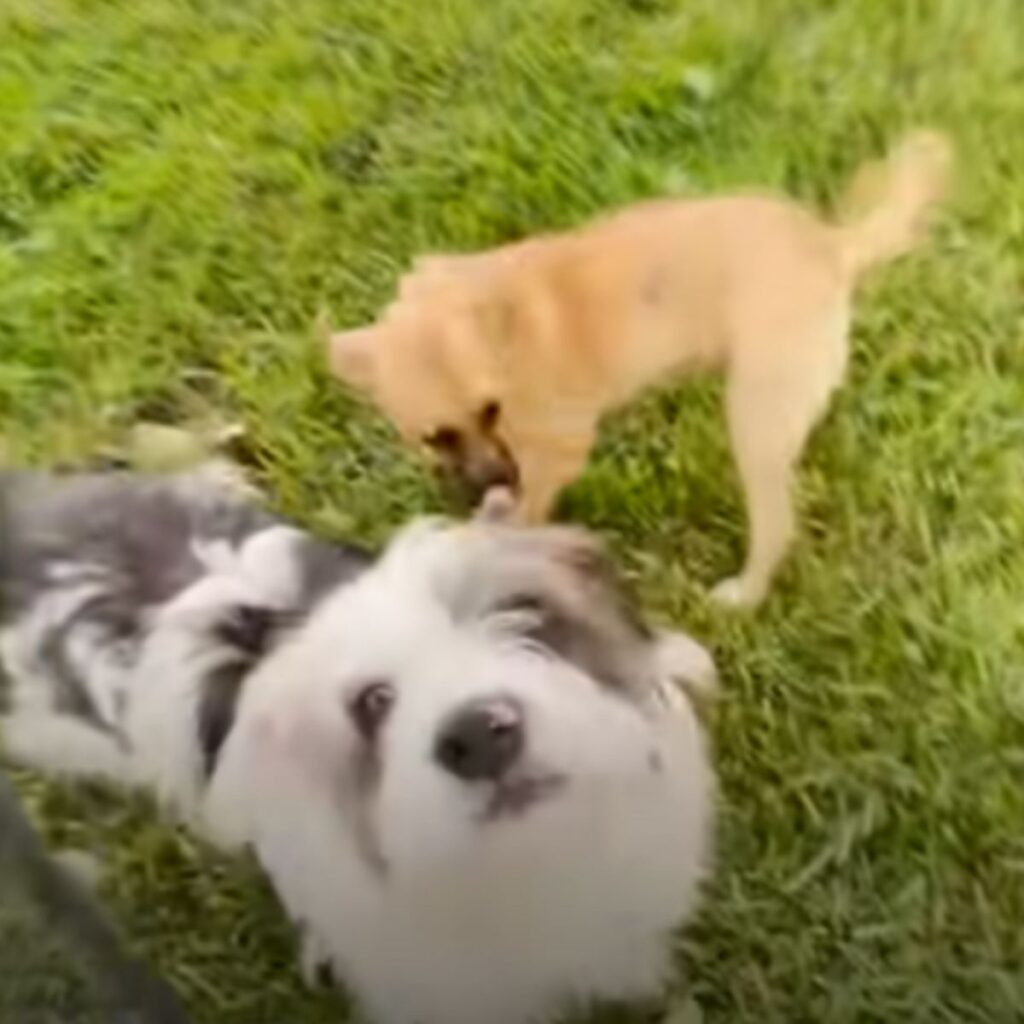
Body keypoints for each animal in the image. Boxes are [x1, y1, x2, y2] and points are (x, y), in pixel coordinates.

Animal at [327, 131, 950, 602]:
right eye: (436, 436)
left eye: (491, 409)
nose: (493, 483)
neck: (503, 333)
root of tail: (831, 246)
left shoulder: (556, 450)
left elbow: (526, 514)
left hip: (754, 419)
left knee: (776, 526)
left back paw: (744, 595)